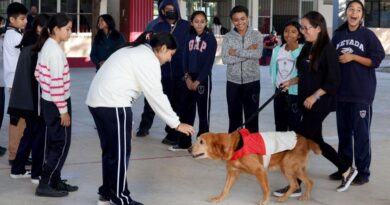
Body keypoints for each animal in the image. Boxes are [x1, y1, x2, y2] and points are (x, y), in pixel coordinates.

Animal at [188, 130, 320, 205]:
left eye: (202, 142)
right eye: (197, 140)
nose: (189, 149)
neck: (235, 146)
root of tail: (306, 140)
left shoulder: (260, 170)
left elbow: (265, 189)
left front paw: (265, 201)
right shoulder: (232, 172)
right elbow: (225, 189)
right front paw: (219, 198)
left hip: (287, 166)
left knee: (295, 184)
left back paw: (283, 198)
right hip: (295, 168)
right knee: (309, 182)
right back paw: (304, 196)